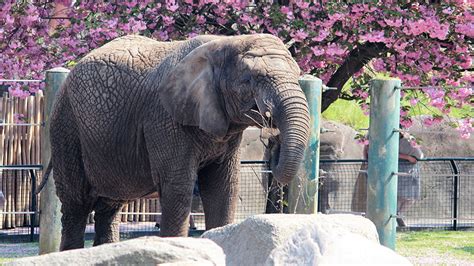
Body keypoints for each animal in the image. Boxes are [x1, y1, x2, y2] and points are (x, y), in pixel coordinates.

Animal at [50, 33, 312, 249]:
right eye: (253, 78)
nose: (274, 136)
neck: (225, 43)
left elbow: (222, 187)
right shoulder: (164, 118)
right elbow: (178, 186)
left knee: (110, 206)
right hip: (66, 125)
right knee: (76, 204)